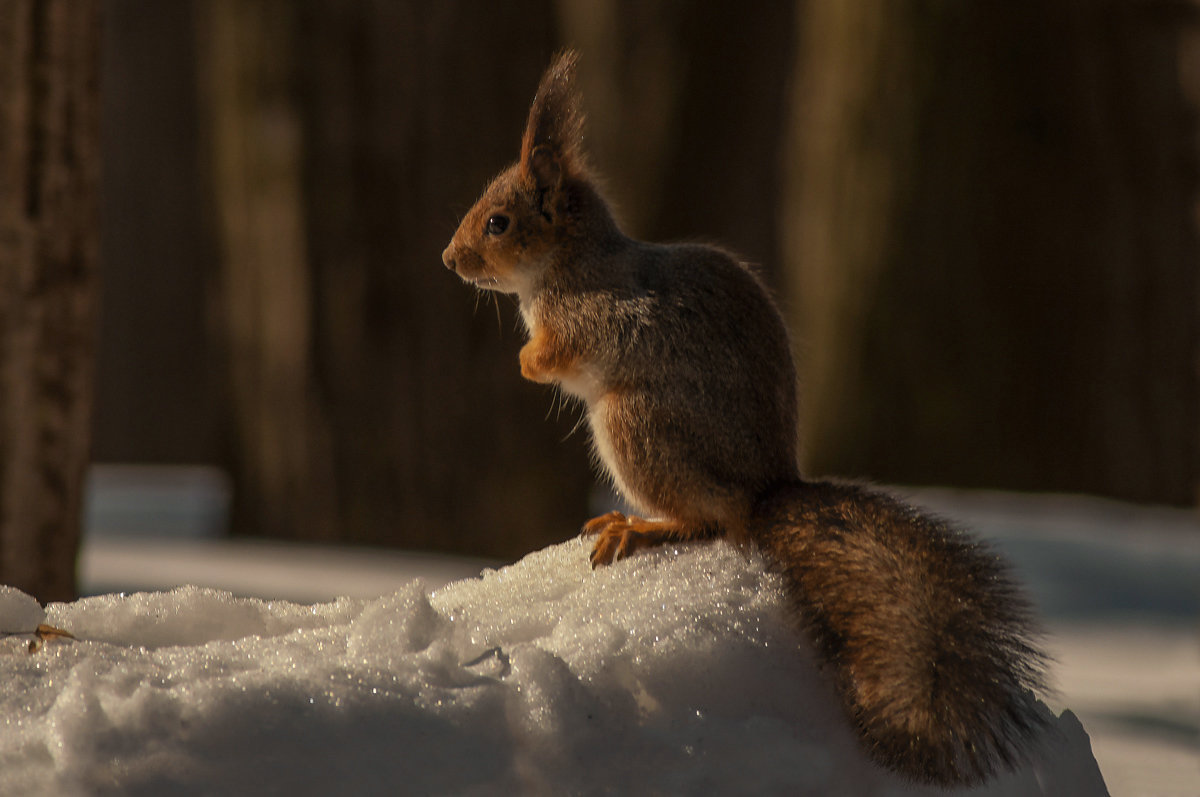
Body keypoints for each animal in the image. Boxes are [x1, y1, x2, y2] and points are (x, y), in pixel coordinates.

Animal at [444, 51, 1051, 792]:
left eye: (498, 223)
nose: (449, 259)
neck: (567, 263)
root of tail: (767, 491)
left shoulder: (593, 316)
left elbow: (560, 353)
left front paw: (526, 361)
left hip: (635, 427)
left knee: (710, 520)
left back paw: (639, 527)